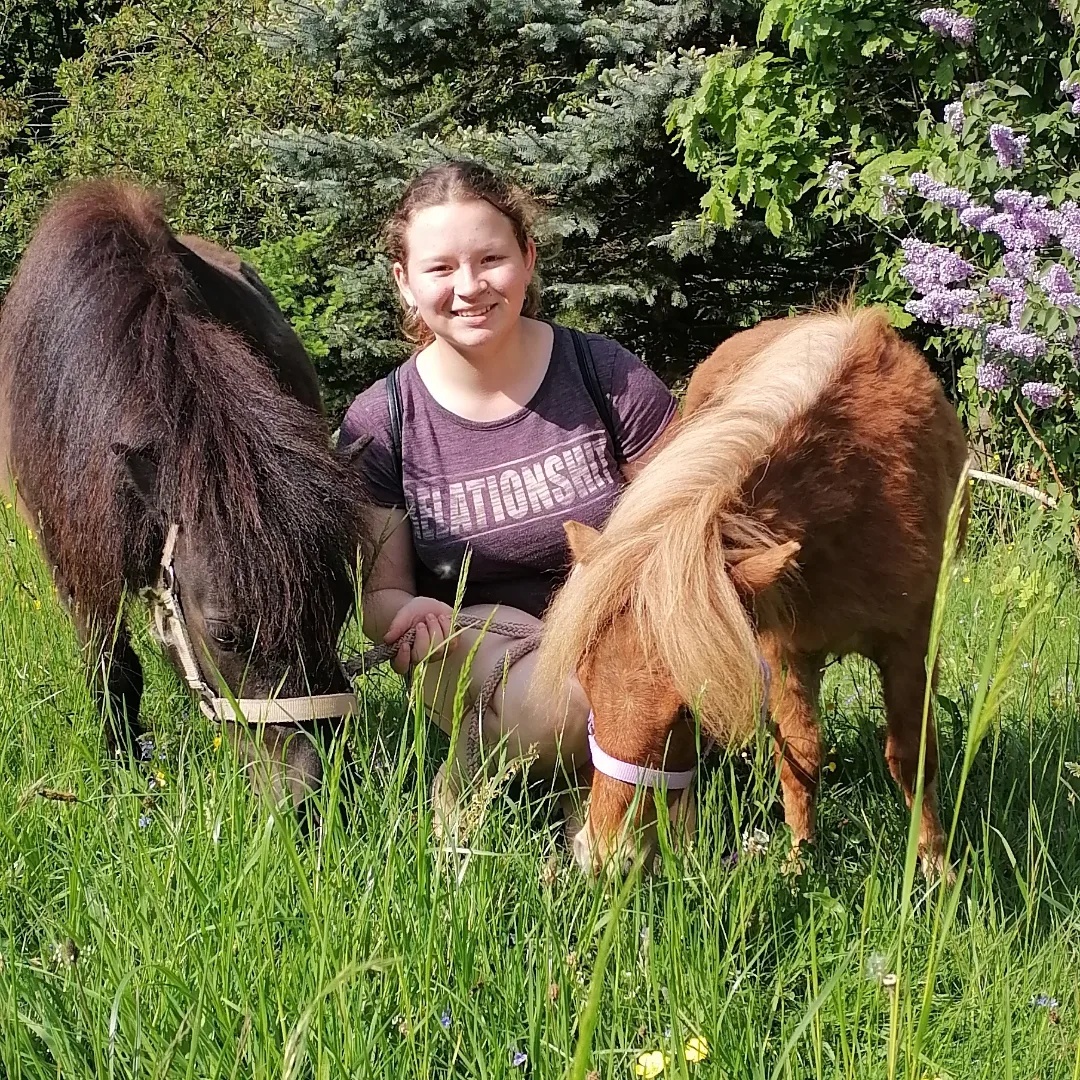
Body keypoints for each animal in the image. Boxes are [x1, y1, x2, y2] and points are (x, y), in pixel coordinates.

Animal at [0, 179, 372, 811]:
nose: (314, 794)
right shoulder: (74, 562)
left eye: (342, 607)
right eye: (225, 633)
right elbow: (112, 669)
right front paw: (124, 767)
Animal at [534, 308, 969, 875]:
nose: (607, 857)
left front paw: (936, 868)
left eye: (688, 712)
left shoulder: (910, 644)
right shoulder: (784, 650)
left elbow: (912, 757)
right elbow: (801, 756)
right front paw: (801, 861)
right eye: (585, 683)